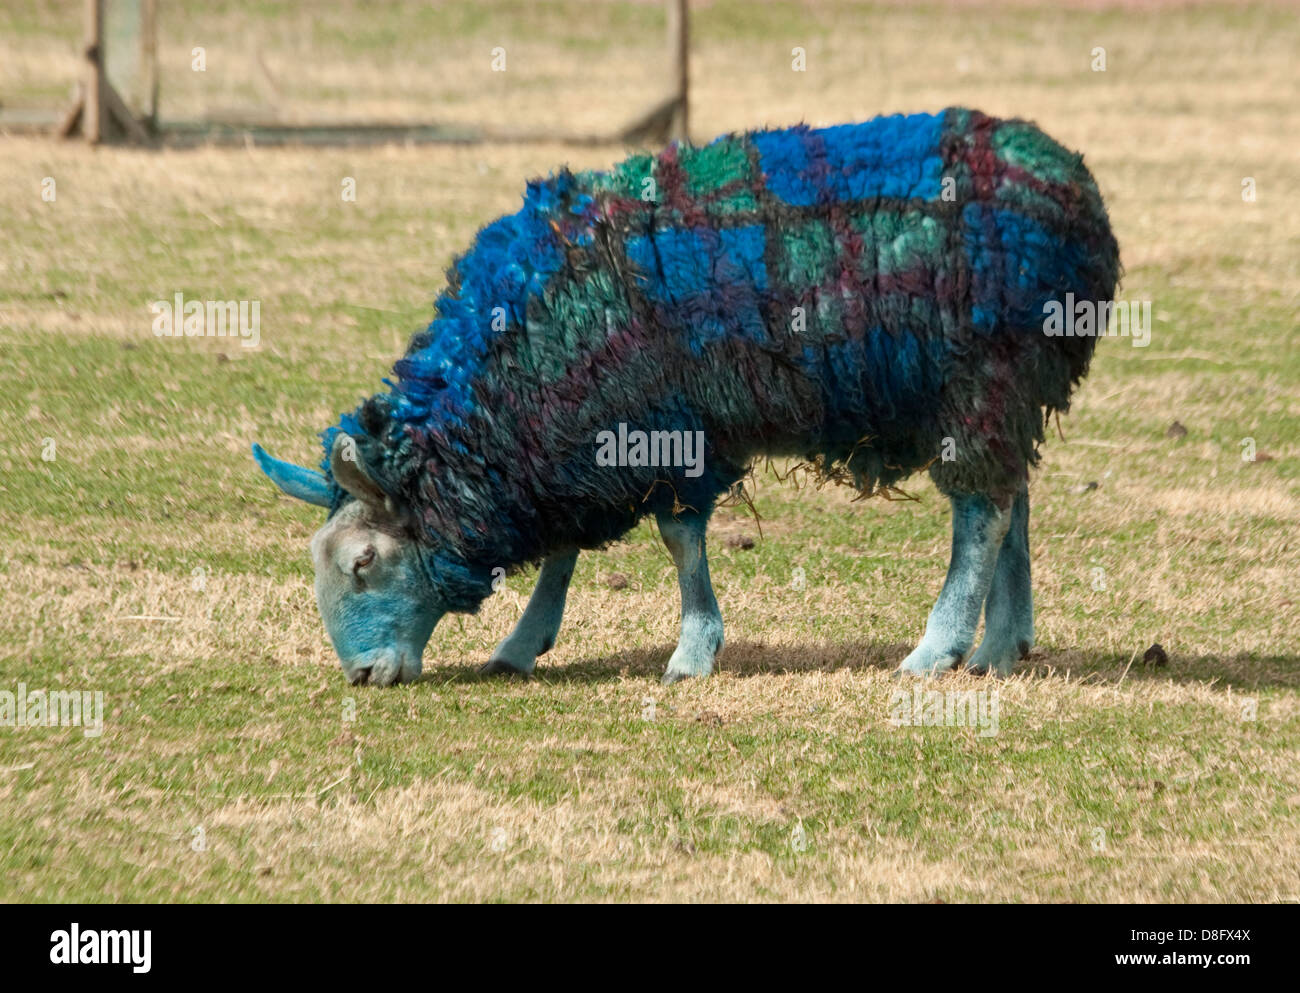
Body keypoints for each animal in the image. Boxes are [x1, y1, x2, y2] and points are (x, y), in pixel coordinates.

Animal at [250, 106, 1118, 681]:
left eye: (364, 561)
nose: (363, 675)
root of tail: (1078, 189)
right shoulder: (573, 439)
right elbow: (564, 550)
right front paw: (523, 642)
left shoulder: (667, 427)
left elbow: (678, 541)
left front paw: (693, 648)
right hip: (1002, 390)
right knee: (1010, 499)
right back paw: (1001, 645)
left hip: (982, 378)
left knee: (982, 513)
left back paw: (938, 647)